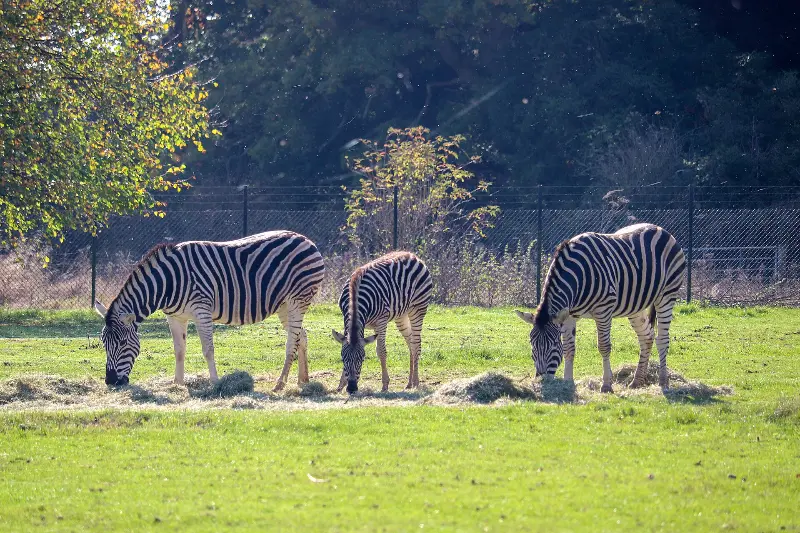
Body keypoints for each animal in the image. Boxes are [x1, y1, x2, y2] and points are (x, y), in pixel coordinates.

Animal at [94, 230, 325, 391]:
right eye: (104, 343)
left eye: (123, 343)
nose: (111, 381)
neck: (168, 283)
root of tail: (307, 240)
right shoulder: (175, 317)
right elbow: (179, 350)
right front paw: (178, 384)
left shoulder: (201, 311)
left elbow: (208, 349)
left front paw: (215, 382)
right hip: (284, 305)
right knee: (301, 336)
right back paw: (302, 380)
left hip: (297, 300)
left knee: (291, 343)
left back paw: (280, 384)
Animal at [331, 251, 433, 394]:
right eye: (342, 359)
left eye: (362, 359)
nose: (351, 388)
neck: (355, 298)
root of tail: (411, 254)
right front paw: (340, 385)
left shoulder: (381, 321)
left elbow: (381, 351)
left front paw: (385, 385)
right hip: (401, 316)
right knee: (410, 342)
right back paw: (409, 383)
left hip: (418, 309)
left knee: (416, 343)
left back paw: (416, 382)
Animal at [515, 223, 686, 391]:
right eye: (532, 344)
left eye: (552, 346)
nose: (541, 381)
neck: (579, 275)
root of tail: (660, 228)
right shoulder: (569, 315)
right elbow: (569, 349)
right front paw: (568, 382)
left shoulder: (603, 310)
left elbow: (604, 346)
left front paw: (606, 385)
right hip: (636, 306)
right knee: (647, 337)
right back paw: (637, 381)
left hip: (667, 295)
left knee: (662, 339)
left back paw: (663, 382)